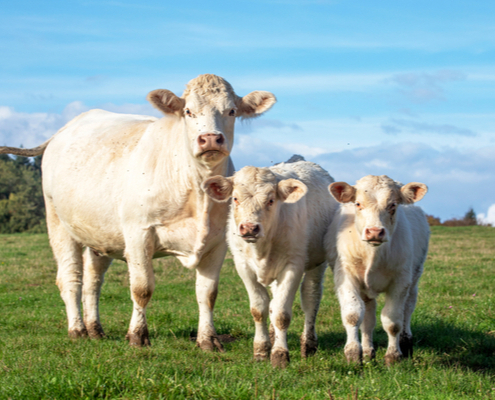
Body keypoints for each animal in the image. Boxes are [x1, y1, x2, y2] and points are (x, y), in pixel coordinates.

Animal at [0, 75, 278, 350]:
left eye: (231, 111)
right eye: (188, 111)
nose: (210, 138)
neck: (196, 190)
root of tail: (65, 129)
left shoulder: (217, 242)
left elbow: (207, 293)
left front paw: (208, 339)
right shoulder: (138, 233)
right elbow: (142, 288)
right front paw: (137, 335)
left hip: (98, 235)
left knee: (92, 282)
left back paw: (95, 329)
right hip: (58, 223)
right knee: (70, 278)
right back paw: (77, 329)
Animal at [203, 157, 340, 368]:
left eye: (270, 200)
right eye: (235, 198)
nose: (249, 228)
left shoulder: (293, 266)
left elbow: (282, 314)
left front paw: (280, 354)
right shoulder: (243, 267)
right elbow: (259, 309)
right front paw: (261, 350)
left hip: (317, 263)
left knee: (311, 298)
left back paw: (308, 345)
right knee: (275, 301)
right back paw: (275, 336)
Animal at [326, 175, 430, 366]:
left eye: (393, 205)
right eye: (358, 203)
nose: (374, 232)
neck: (373, 254)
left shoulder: (401, 281)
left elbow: (393, 321)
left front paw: (393, 356)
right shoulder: (345, 276)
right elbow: (353, 315)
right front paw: (354, 353)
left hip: (414, 278)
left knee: (408, 309)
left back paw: (406, 343)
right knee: (368, 318)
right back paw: (368, 351)